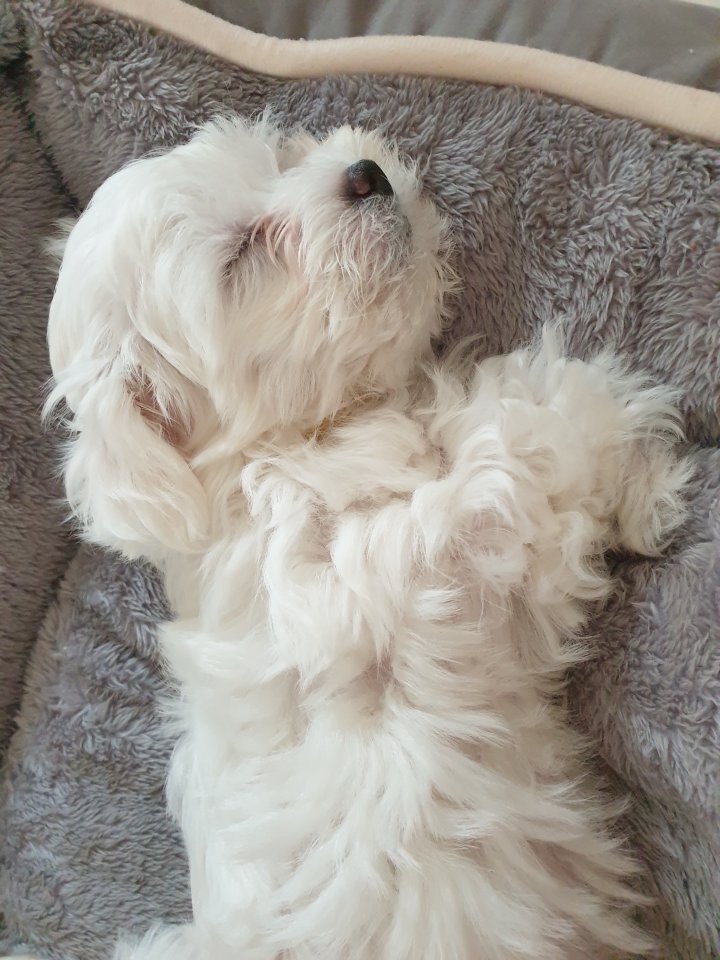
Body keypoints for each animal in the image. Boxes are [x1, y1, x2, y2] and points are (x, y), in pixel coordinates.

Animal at [41, 117, 690, 960]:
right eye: (241, 256)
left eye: (279, 155)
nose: (364, 175)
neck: (284, 451)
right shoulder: (405, 566)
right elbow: (516, 437)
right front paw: (644, 466)